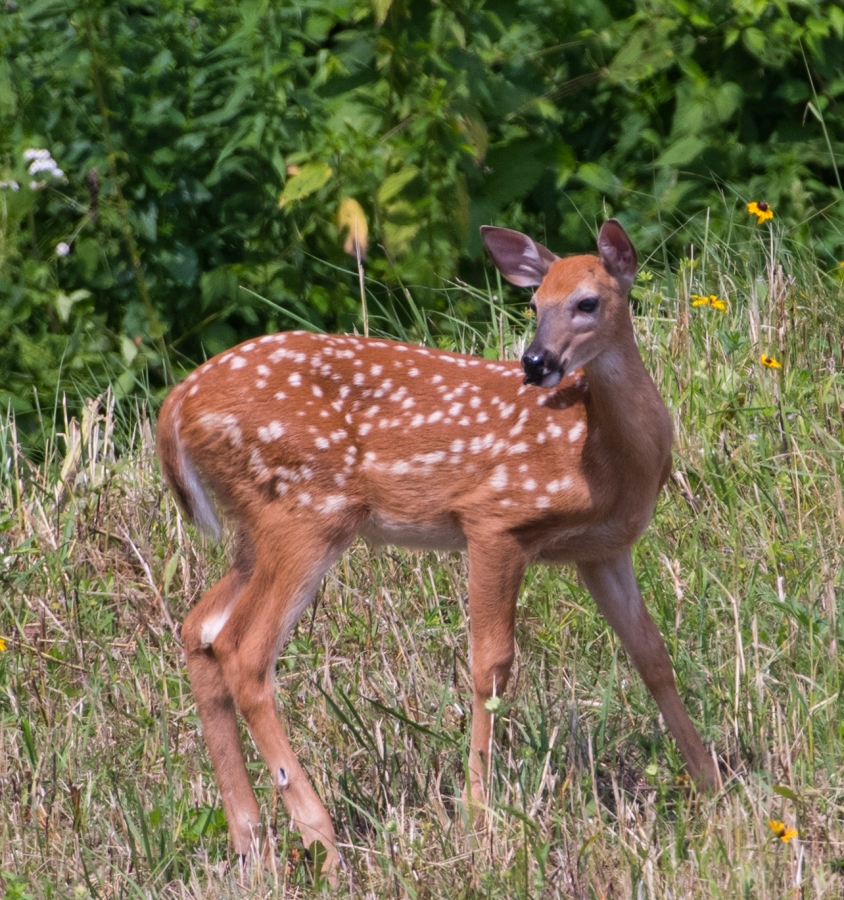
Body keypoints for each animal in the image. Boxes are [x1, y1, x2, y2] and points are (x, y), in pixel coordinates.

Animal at [156, 219, 720, 886]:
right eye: (534, 304)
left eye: (587, 302)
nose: (535, 362)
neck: (609, 456)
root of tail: (175, 406)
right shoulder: (495, 519)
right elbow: (490, 666)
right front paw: (479, 818)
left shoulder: (602, 550)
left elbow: (652, 656)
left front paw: (713, 785)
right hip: (306, 511)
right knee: (243, 650)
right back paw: (325, 845)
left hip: (255, 529)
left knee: (198, 628)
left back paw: (253, 845)